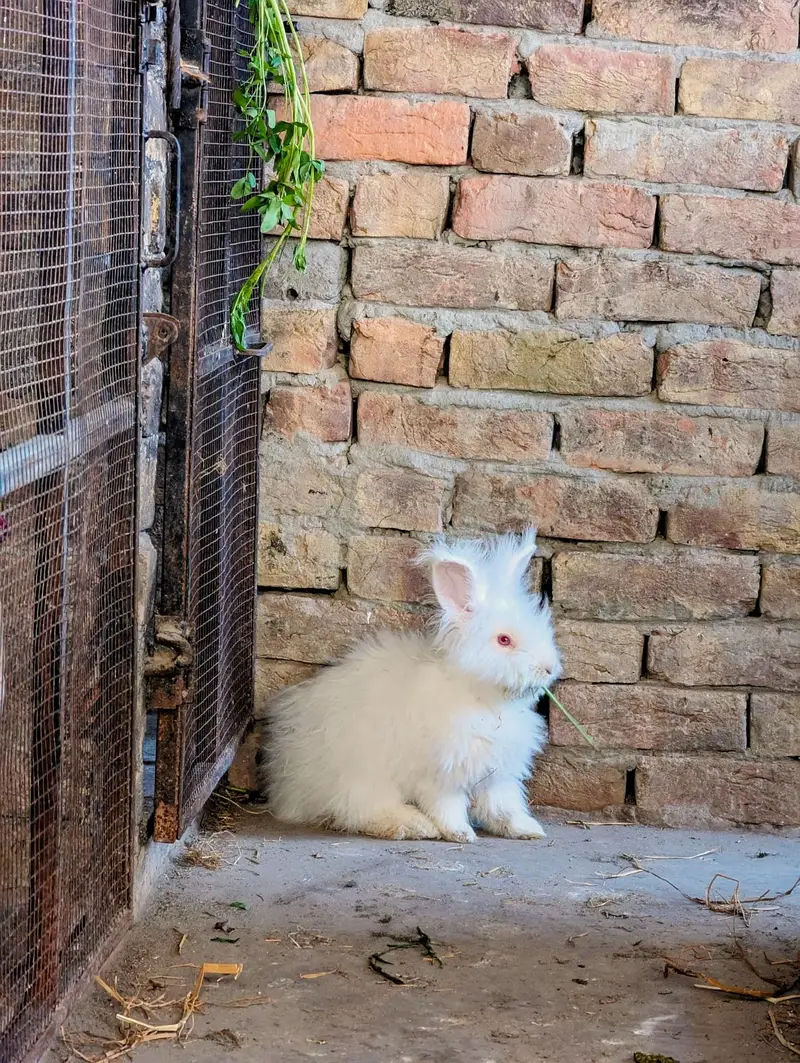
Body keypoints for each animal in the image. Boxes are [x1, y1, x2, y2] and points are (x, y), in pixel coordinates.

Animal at [261, 529, 561, 843]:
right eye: (504, 640)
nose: (549, 668)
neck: (483, 699)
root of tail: (287, 789)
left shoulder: (497, 774)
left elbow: (503, 805)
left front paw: (528, 830)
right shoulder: (440, 774)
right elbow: (447, 806)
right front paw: (461, 834)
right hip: (364, 779)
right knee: (362, 812)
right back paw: (415, 825)